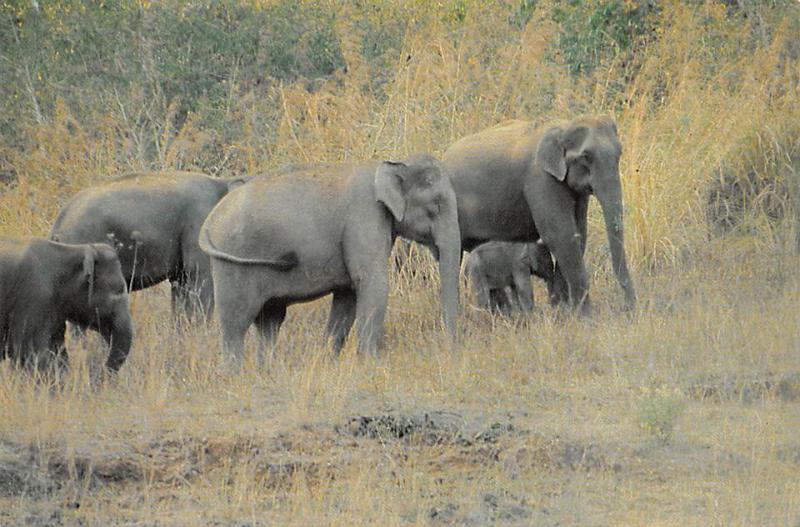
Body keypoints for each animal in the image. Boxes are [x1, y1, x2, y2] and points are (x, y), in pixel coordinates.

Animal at [0, 237, 134, 370]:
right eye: (119, 290)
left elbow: (57, 351)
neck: (73, 250)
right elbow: (31, 353)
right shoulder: (35, 296)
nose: (100, 369)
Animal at [200, 153, 460, 368]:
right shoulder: (364, 218)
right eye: (436, 206)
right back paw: (234, 374)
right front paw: (371, 364)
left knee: (270, 322)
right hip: (232, 265)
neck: (392, 163)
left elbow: (347, 296)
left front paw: (330, 361)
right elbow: (372, 284)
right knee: (236, 323)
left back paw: (267, 371)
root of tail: (210, 220)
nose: (448, 347)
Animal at [444, 116, 636, 314]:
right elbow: (560, 235)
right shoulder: (541, 180)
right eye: (586, 156)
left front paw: (564, 312)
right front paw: (585, 316)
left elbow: (578, 233)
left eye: (619, 153)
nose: (628, 308)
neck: (563, 126)